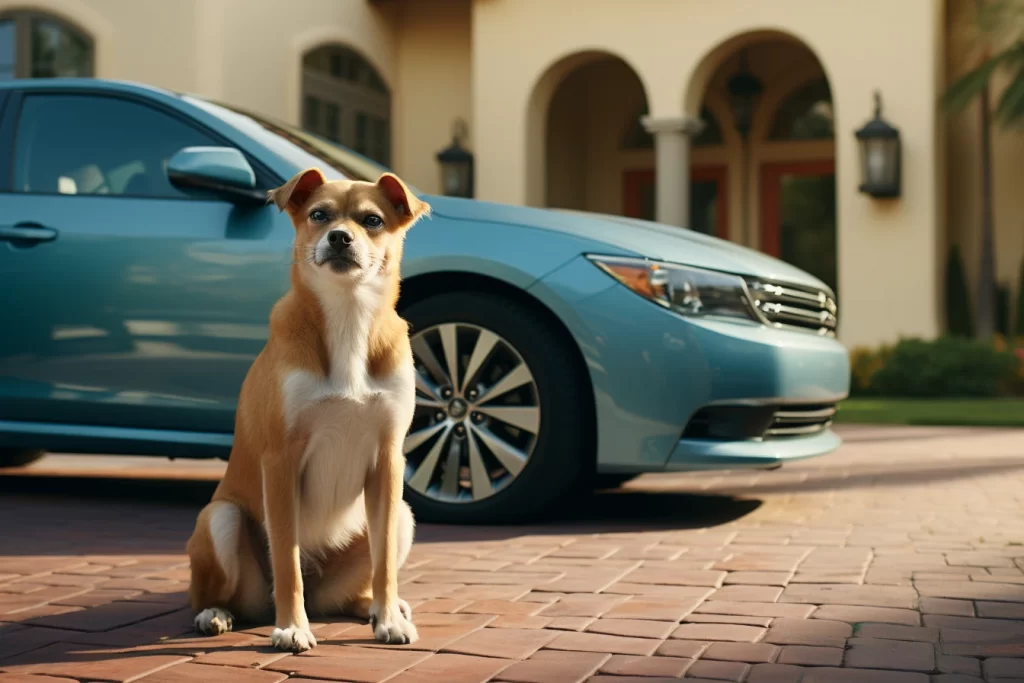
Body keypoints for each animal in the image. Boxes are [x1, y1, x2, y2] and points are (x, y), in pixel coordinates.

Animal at [187, 165, 428, 651]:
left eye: (372, 220)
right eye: (319, 214)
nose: (339, 237)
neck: (349, 316)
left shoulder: (388, 460)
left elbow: (383, 565)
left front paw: (389, 619)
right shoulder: (281, 461)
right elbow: (287, 561)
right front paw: (292, 627)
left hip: (402, 518)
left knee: (359, 586)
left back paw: (379, 608)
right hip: (220, 518)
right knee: (218, 593)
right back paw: (215, 614)